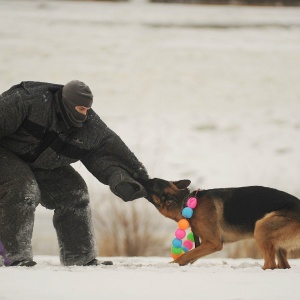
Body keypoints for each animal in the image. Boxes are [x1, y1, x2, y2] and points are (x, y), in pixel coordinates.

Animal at [142, 178, 300, 270]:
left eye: (151, 184)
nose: (143, 178)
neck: (186, 202)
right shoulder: (205, 243)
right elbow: (192, 255)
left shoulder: (213, 243)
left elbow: (185, 255)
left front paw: (171, 265)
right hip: (275, 243)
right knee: (283, 265)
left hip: (261, 227)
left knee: (270, 264)